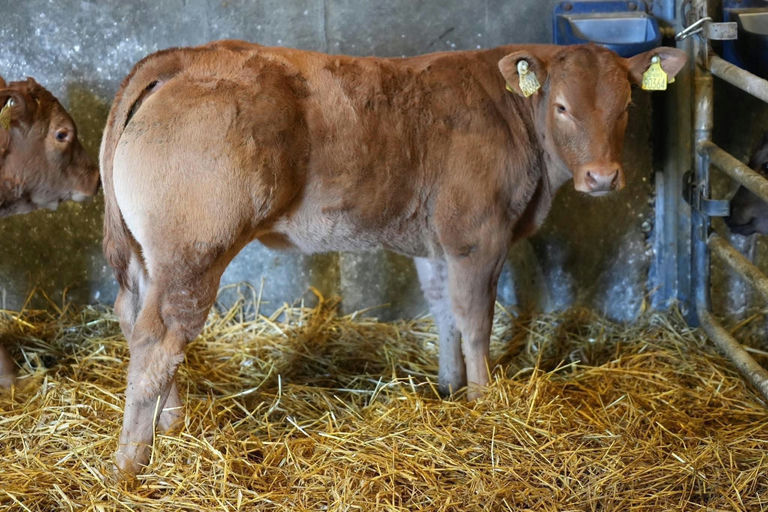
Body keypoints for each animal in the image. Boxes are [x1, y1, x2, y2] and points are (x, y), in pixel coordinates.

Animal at [100, 40, 687, 476]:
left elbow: (444, 309)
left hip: (151, 254)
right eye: (562, 107)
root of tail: (188, 56)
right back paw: (133, 460)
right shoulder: (479, 234)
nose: (603, 177)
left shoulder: (435, 243)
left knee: (136, 318)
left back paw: (170, 423)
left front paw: (450, 386)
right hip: (195, 247)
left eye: (627, 107)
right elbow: (476, 318)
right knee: (160, 335)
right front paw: (485, 400)